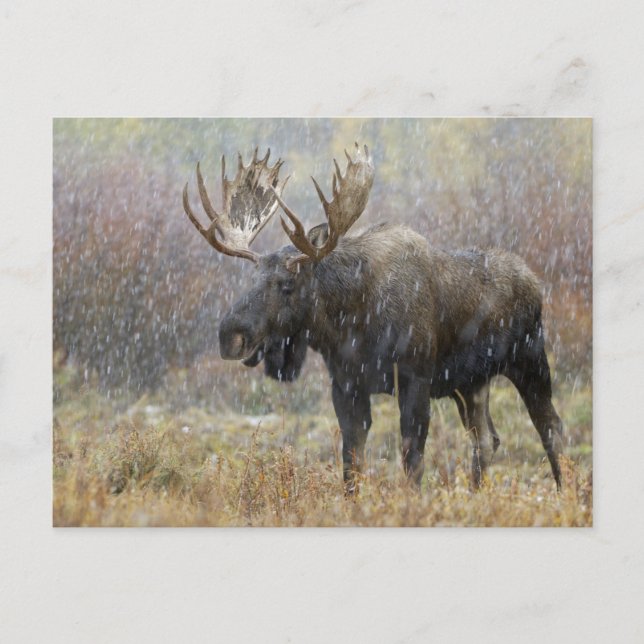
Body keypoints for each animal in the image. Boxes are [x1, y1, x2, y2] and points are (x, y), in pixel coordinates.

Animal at [182, 143, 565, 493]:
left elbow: (412, 461)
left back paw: (565, 491)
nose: (230, 336)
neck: (352, 323)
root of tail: (535, 282)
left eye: (287, 285)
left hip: (530, 359)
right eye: (252, 278)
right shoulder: (346, 385)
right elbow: (351, 463)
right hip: (471, 383)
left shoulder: (415, 378)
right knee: (487, 438)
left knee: (551, 428)